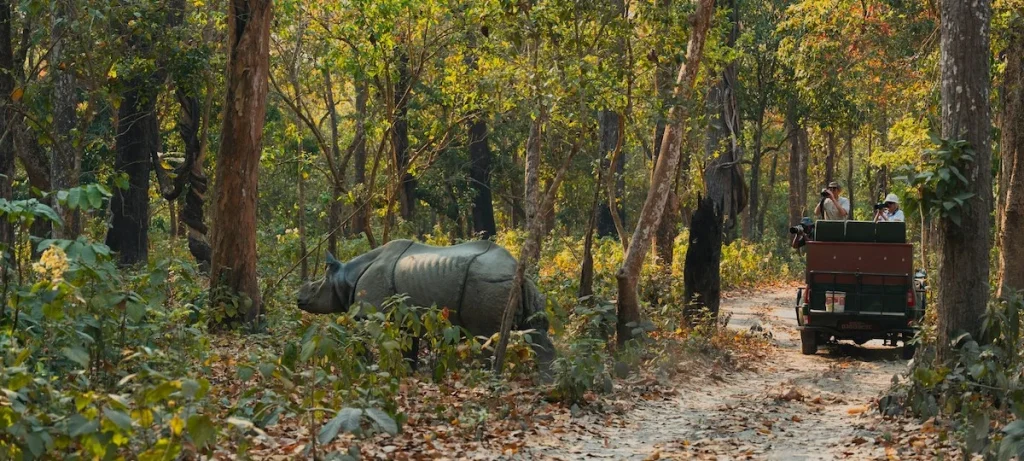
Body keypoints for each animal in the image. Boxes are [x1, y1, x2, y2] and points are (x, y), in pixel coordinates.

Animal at [296, 239, 554, 374]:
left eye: (315, 288)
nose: (298, 299)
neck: (344, 280)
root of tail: (516, 271)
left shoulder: (370, 315)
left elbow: (367, 341)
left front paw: (367, 368)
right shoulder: (407, 317)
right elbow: (409, 346)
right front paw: (409, 373)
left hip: (487, 282)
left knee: (485, 335)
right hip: (518, 285)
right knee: (536, 332)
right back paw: (548, 384)